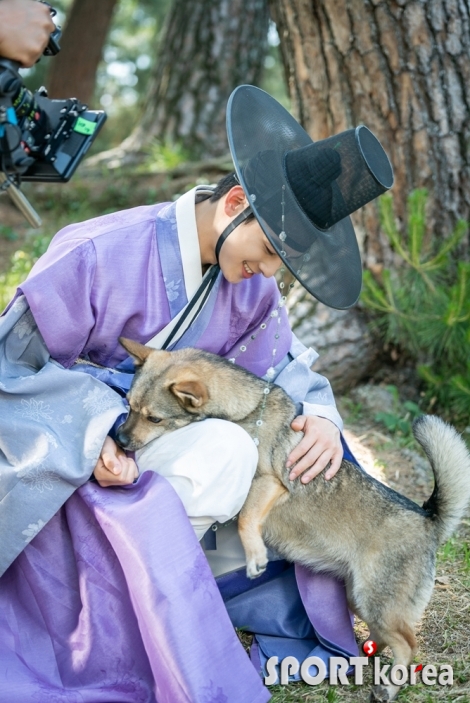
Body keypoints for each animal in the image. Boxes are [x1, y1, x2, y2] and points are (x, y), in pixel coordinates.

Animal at [115, 338, 470, 700]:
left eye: (155, 418)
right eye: (129, 406)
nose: (118, 440)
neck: (248, 412)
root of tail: (428, 520)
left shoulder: (271, 483)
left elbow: (245, 519)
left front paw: (255, 557)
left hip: (376, 603)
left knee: (408, 644)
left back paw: (388, 687)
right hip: (359, 600)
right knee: (385, 638)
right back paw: (362, 655)